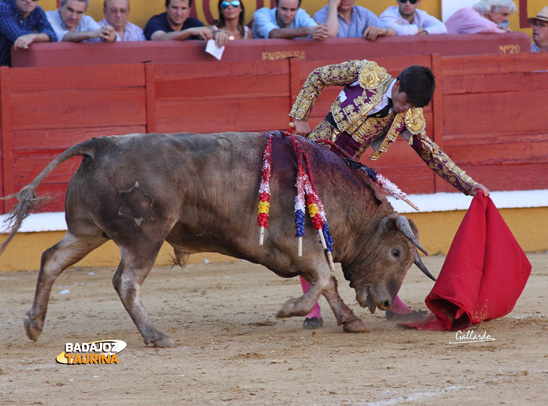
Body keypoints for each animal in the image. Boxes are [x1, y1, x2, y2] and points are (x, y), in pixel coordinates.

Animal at [0, 132, 432, 348]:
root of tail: (100, 145)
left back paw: (34, 324)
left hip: (87, 231)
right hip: (145, 237)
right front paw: (290, 309)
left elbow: (329, 284)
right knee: (126, 282)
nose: (386, 301)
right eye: (396, 252)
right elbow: (325, 278)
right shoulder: (299, 243)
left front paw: (350, 321)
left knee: (52, 259)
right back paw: (156, 336)